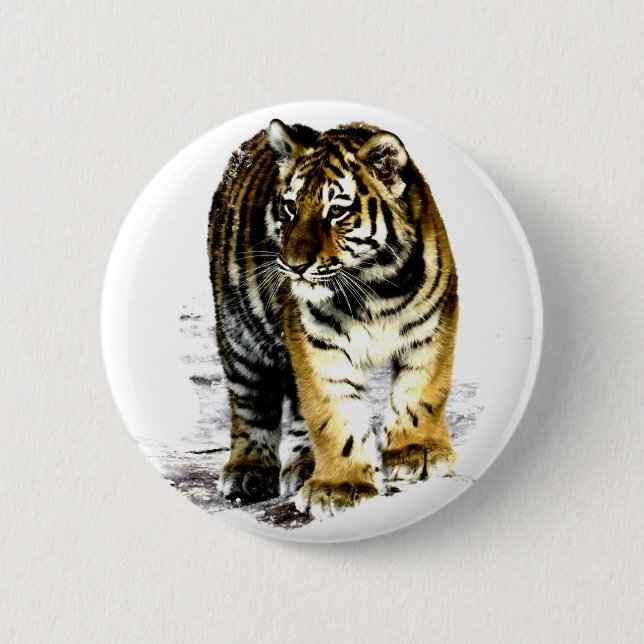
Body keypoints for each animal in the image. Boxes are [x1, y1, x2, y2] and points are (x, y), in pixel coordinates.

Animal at [207, 118, 459, 518]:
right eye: (290, 207)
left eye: (336, 212)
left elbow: (422, 391)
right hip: (239, 335)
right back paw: (249, 472)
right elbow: (333, 413)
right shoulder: (317, 341)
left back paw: (305, 465)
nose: (293, 266)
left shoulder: (433, 325)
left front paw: (418, 452)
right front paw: (341, 486)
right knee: (251, 403)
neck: (376, 286)